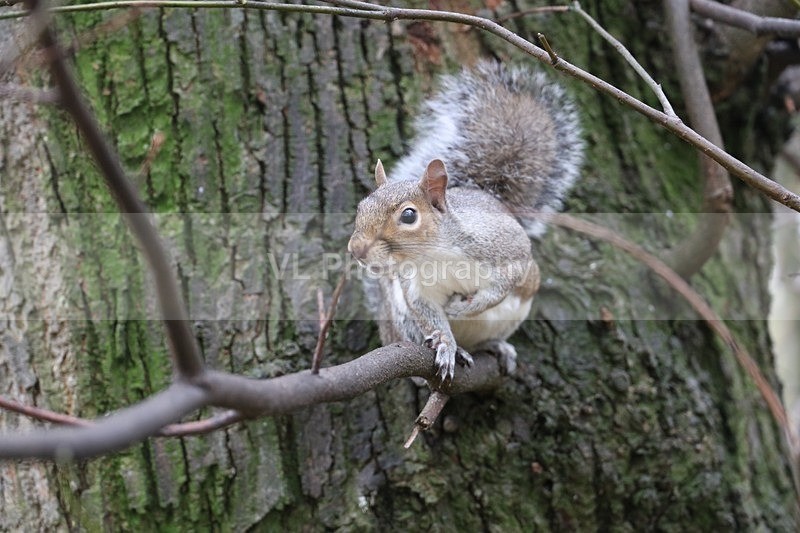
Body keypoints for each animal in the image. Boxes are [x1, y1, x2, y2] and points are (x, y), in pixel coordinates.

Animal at [348, 61, 583, 381]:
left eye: (408, 215)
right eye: (361, 207)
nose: (356, 249)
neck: (435, 255)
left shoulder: (507, 249)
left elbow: (500, 287)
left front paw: (463, 309)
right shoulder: (415, 288)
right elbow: (430, 313)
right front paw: (447, 344)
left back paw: (496, 346)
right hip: (400, 320)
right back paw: (457, 350)